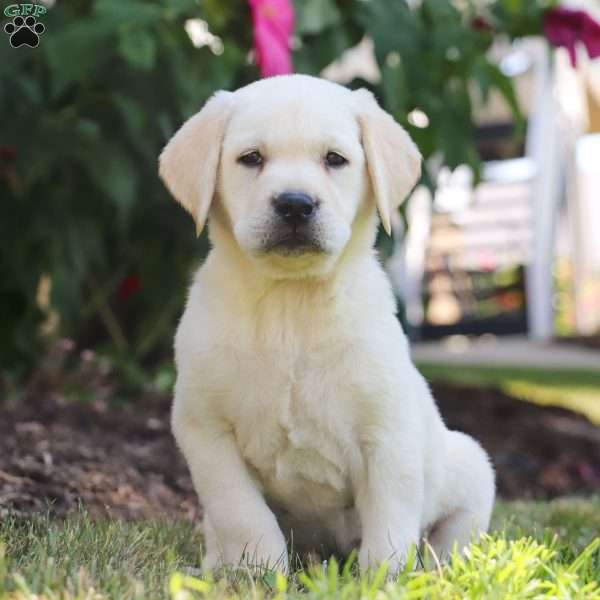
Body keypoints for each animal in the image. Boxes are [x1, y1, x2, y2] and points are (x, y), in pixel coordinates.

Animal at [158, 72, 492, 568]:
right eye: (250, 158)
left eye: (335, 159)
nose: (295, 204)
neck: (290, 304)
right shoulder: (205, 428)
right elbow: (242, 514)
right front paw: (257, 571)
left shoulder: (389, 433)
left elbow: (389, 523)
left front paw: (384, 576)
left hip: (471, 465)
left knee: (447, 540)